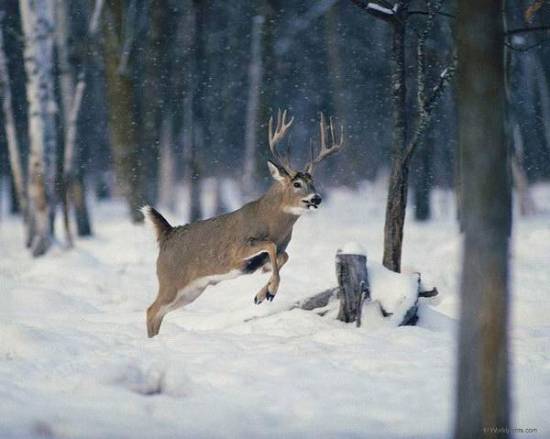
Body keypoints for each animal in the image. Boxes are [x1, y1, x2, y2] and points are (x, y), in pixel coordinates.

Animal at [141, 110, 344, 336]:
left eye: (313, 182)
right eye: (297, 183)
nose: (317, 198)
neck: (271, 222)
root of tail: (167, 233)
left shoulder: (277, 251)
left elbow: (283, 256)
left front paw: (262, 293)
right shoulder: (236, 252)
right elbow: (271, 246)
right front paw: (271, 291)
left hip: (191, 291)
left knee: (159, 312)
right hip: (170, 281)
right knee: (151, 310)